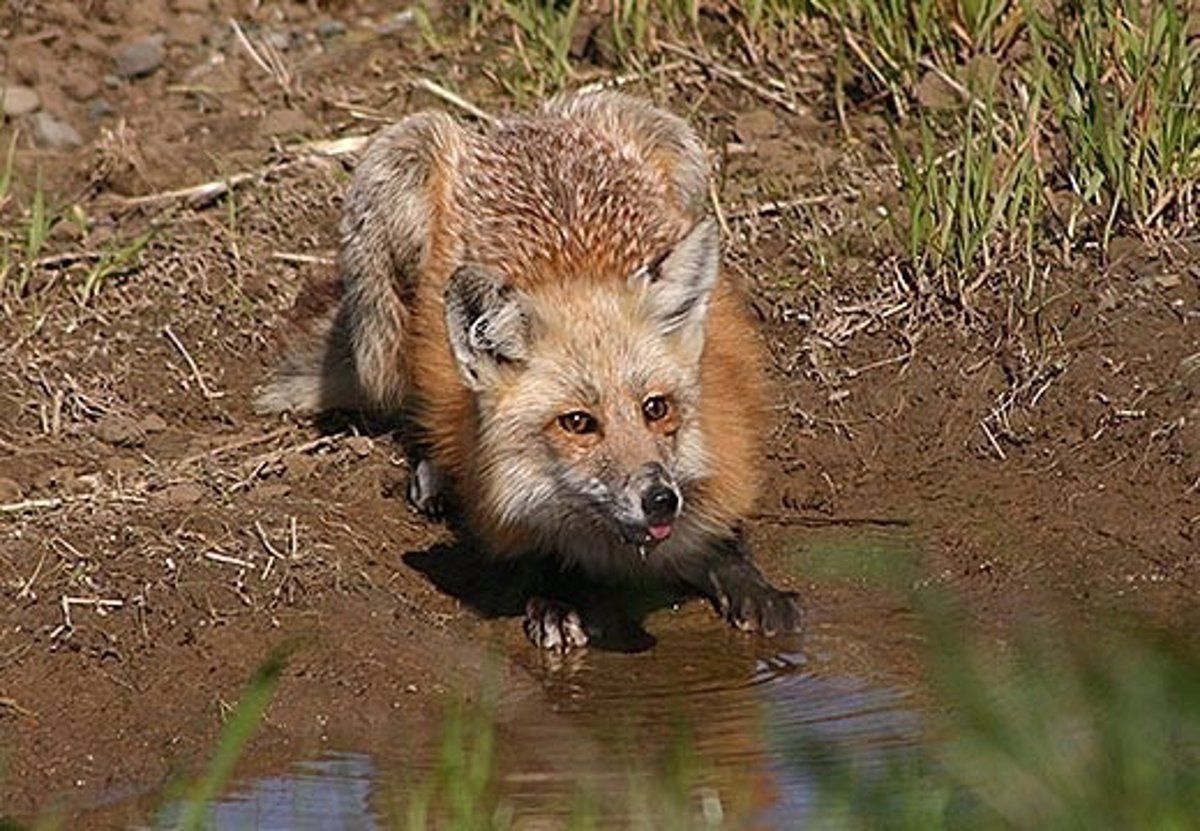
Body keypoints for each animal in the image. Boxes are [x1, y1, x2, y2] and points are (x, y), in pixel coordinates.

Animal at [260, 90, 806, 648]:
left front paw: (748, 581)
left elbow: (721, 544)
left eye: (656, 408)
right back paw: (432, 470)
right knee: (399, 393)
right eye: (577, 422)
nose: (659, 500)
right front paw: (557, 597)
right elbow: (538, 557)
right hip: (383, 299)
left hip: (684, 152)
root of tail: (511, 124)